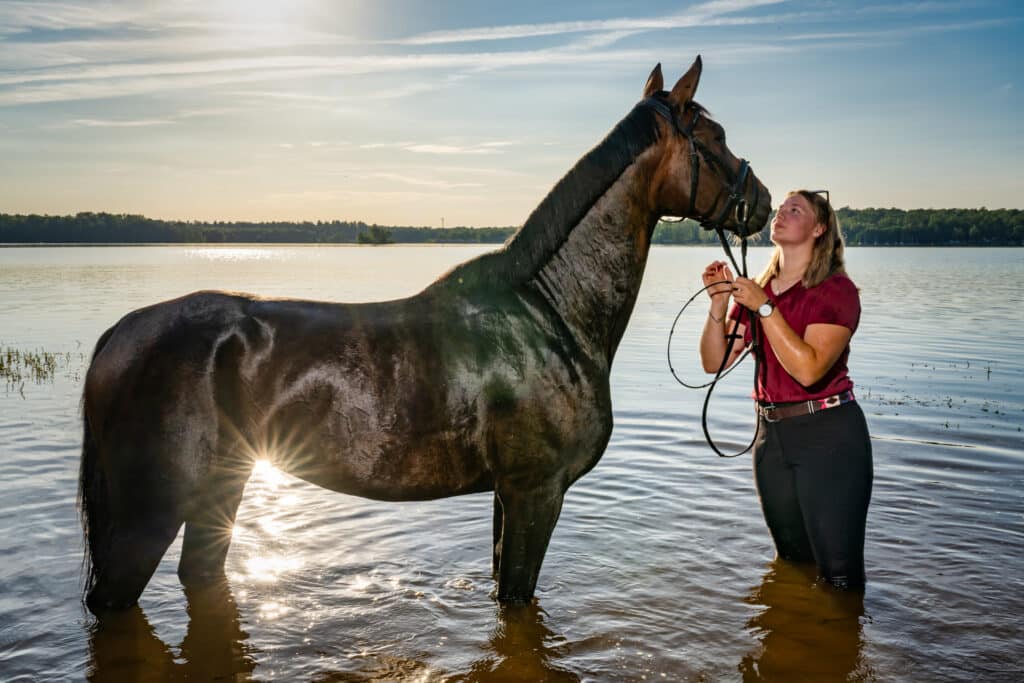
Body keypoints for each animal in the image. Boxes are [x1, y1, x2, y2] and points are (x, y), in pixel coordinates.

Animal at [77, 58, 770, 614]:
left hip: (220, 489)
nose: (762, 203)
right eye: (714, 136)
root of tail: (121, 334)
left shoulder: (508, 499)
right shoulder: (536, 493)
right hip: (149, 514)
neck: (549, 312)